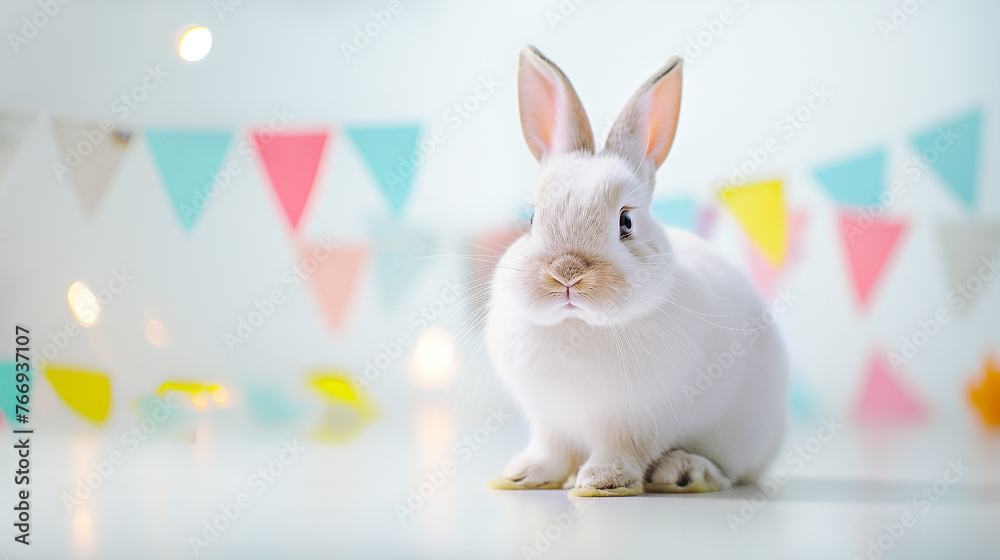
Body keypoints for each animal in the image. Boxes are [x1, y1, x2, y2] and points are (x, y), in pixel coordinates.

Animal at [485, 46, 788, 497]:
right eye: (532, 218)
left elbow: (621, 451)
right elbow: (550, 452)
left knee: (726, 471)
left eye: (626, 221)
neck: (580, 327)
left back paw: (684, 474)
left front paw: (601, 483)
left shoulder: (635, 422)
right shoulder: (550, 421)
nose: (566, 273)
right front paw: (521, 477)